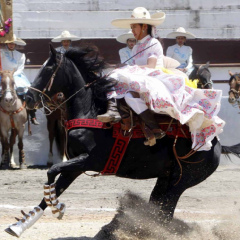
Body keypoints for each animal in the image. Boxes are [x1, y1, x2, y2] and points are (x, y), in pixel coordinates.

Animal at [5, 45, 240, 238]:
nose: (28, 99)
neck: (91, 111)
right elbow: (51, 188)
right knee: (158, 209)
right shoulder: (75, 166)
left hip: (181, 181)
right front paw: (19, 226)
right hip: (165, 179)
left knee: (164, 213)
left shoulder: (89, 160)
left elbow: (52, 172)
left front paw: (57, 206)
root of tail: (217, 144)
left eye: (47, 69)